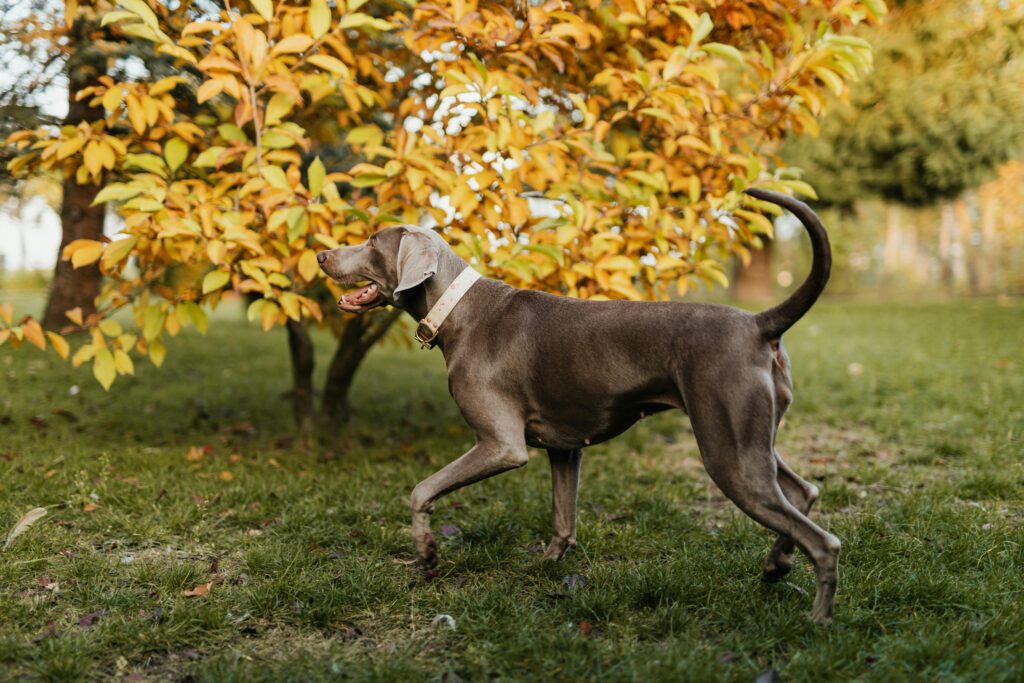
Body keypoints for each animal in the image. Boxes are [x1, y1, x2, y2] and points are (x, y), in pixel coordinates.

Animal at [319, 187, 839, 626]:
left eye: (371, 240)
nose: (322, 254)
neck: (456, 310)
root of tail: (758, 323)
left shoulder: (500, 445)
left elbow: (421, 489)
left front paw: (426, 553)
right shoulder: (565, 447)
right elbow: (562, 518)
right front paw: (544, 567)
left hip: (727, 448)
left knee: (824, 540)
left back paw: (815, 621)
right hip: (752, 438)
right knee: (803, 492)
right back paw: (776, 565)